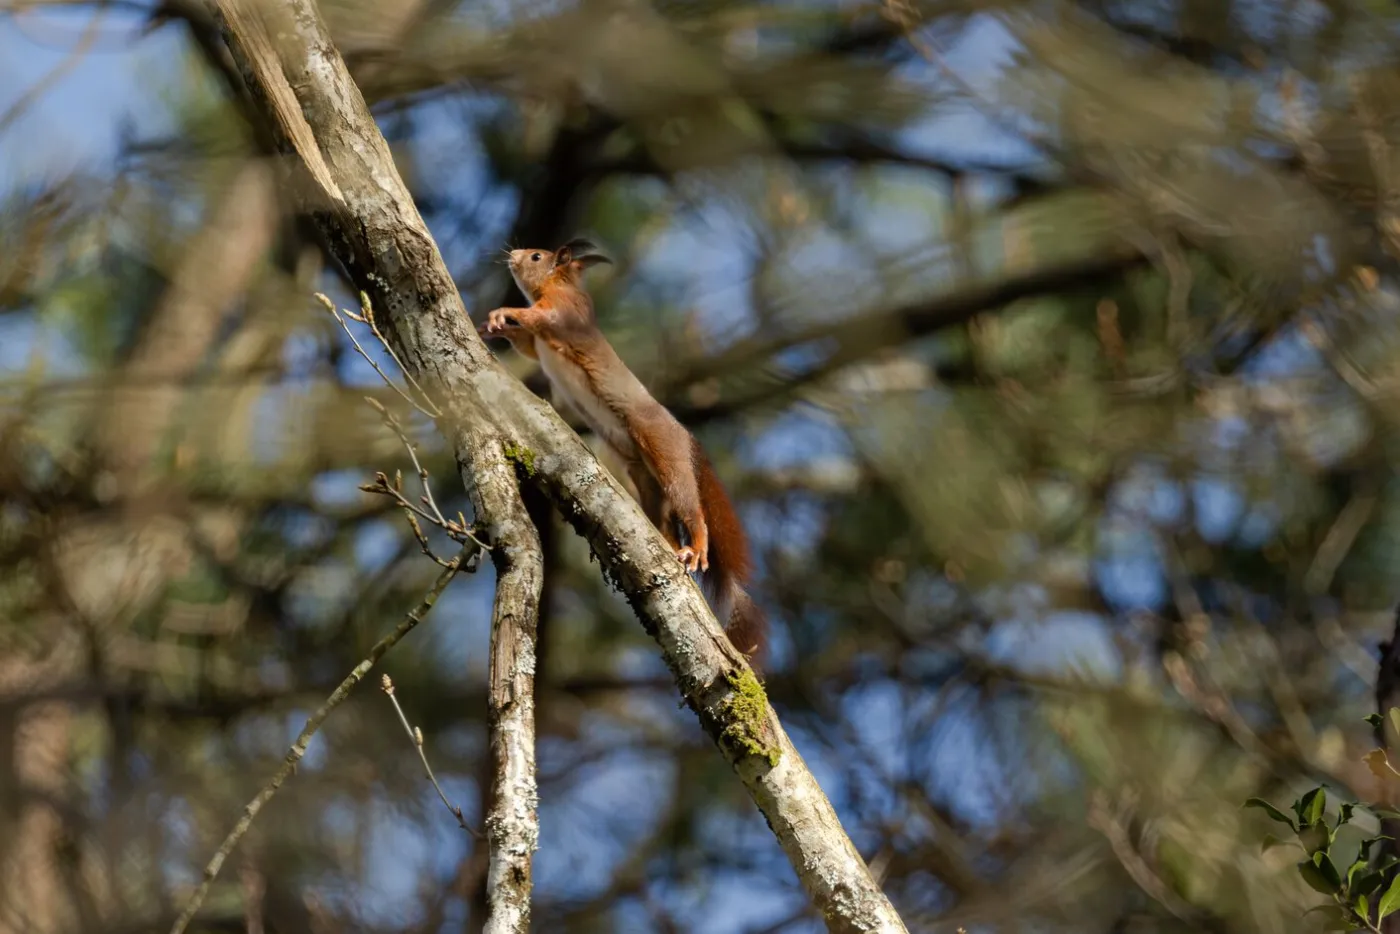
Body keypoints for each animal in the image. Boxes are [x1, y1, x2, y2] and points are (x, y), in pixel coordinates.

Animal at [478, 238, 765, 659]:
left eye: (536, 256)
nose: (511, 255)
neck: (562, 284)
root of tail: (686, 437)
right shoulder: (541, 340)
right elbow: (529, 347)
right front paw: (495, 329)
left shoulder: (566, 314)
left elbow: (543, 318)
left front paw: (504, 313)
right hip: (646, 483)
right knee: (665, 520)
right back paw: (671, 547)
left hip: (662, 451)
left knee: (692, 509)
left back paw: (695, 548)